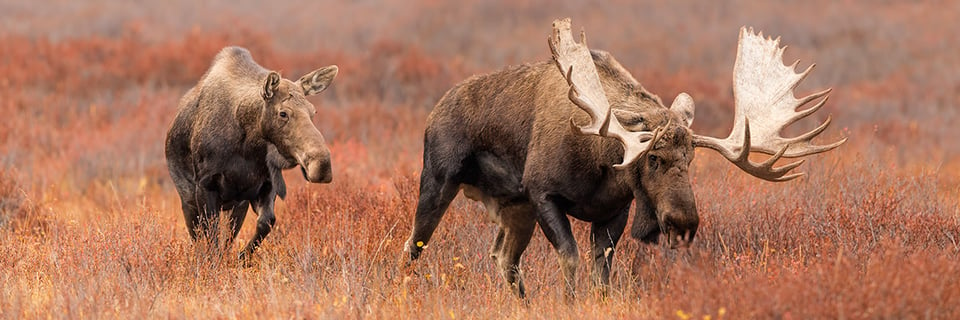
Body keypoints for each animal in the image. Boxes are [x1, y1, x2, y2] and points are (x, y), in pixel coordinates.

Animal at [167, 46, 340, 260]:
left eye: (313, 112)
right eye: (283, 113)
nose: (322, 165)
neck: (248, 147)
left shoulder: (262, 186)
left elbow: (266, 222)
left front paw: (243, 258)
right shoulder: (205, 185)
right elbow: (210, 238)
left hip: (236, 206)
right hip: (187, 196)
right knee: (197, 234)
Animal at [404, 18, 848, 298]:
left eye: (691, 160)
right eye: (652, 159)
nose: (684, 222)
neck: (601, 163)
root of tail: (433, 111)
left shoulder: (613, 211)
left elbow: (602, 276)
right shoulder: (542, 193)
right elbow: (571, 261)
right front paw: (569, 304)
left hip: (515, 209)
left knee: (503, 258)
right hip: (439, 180)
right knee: (414, 245)